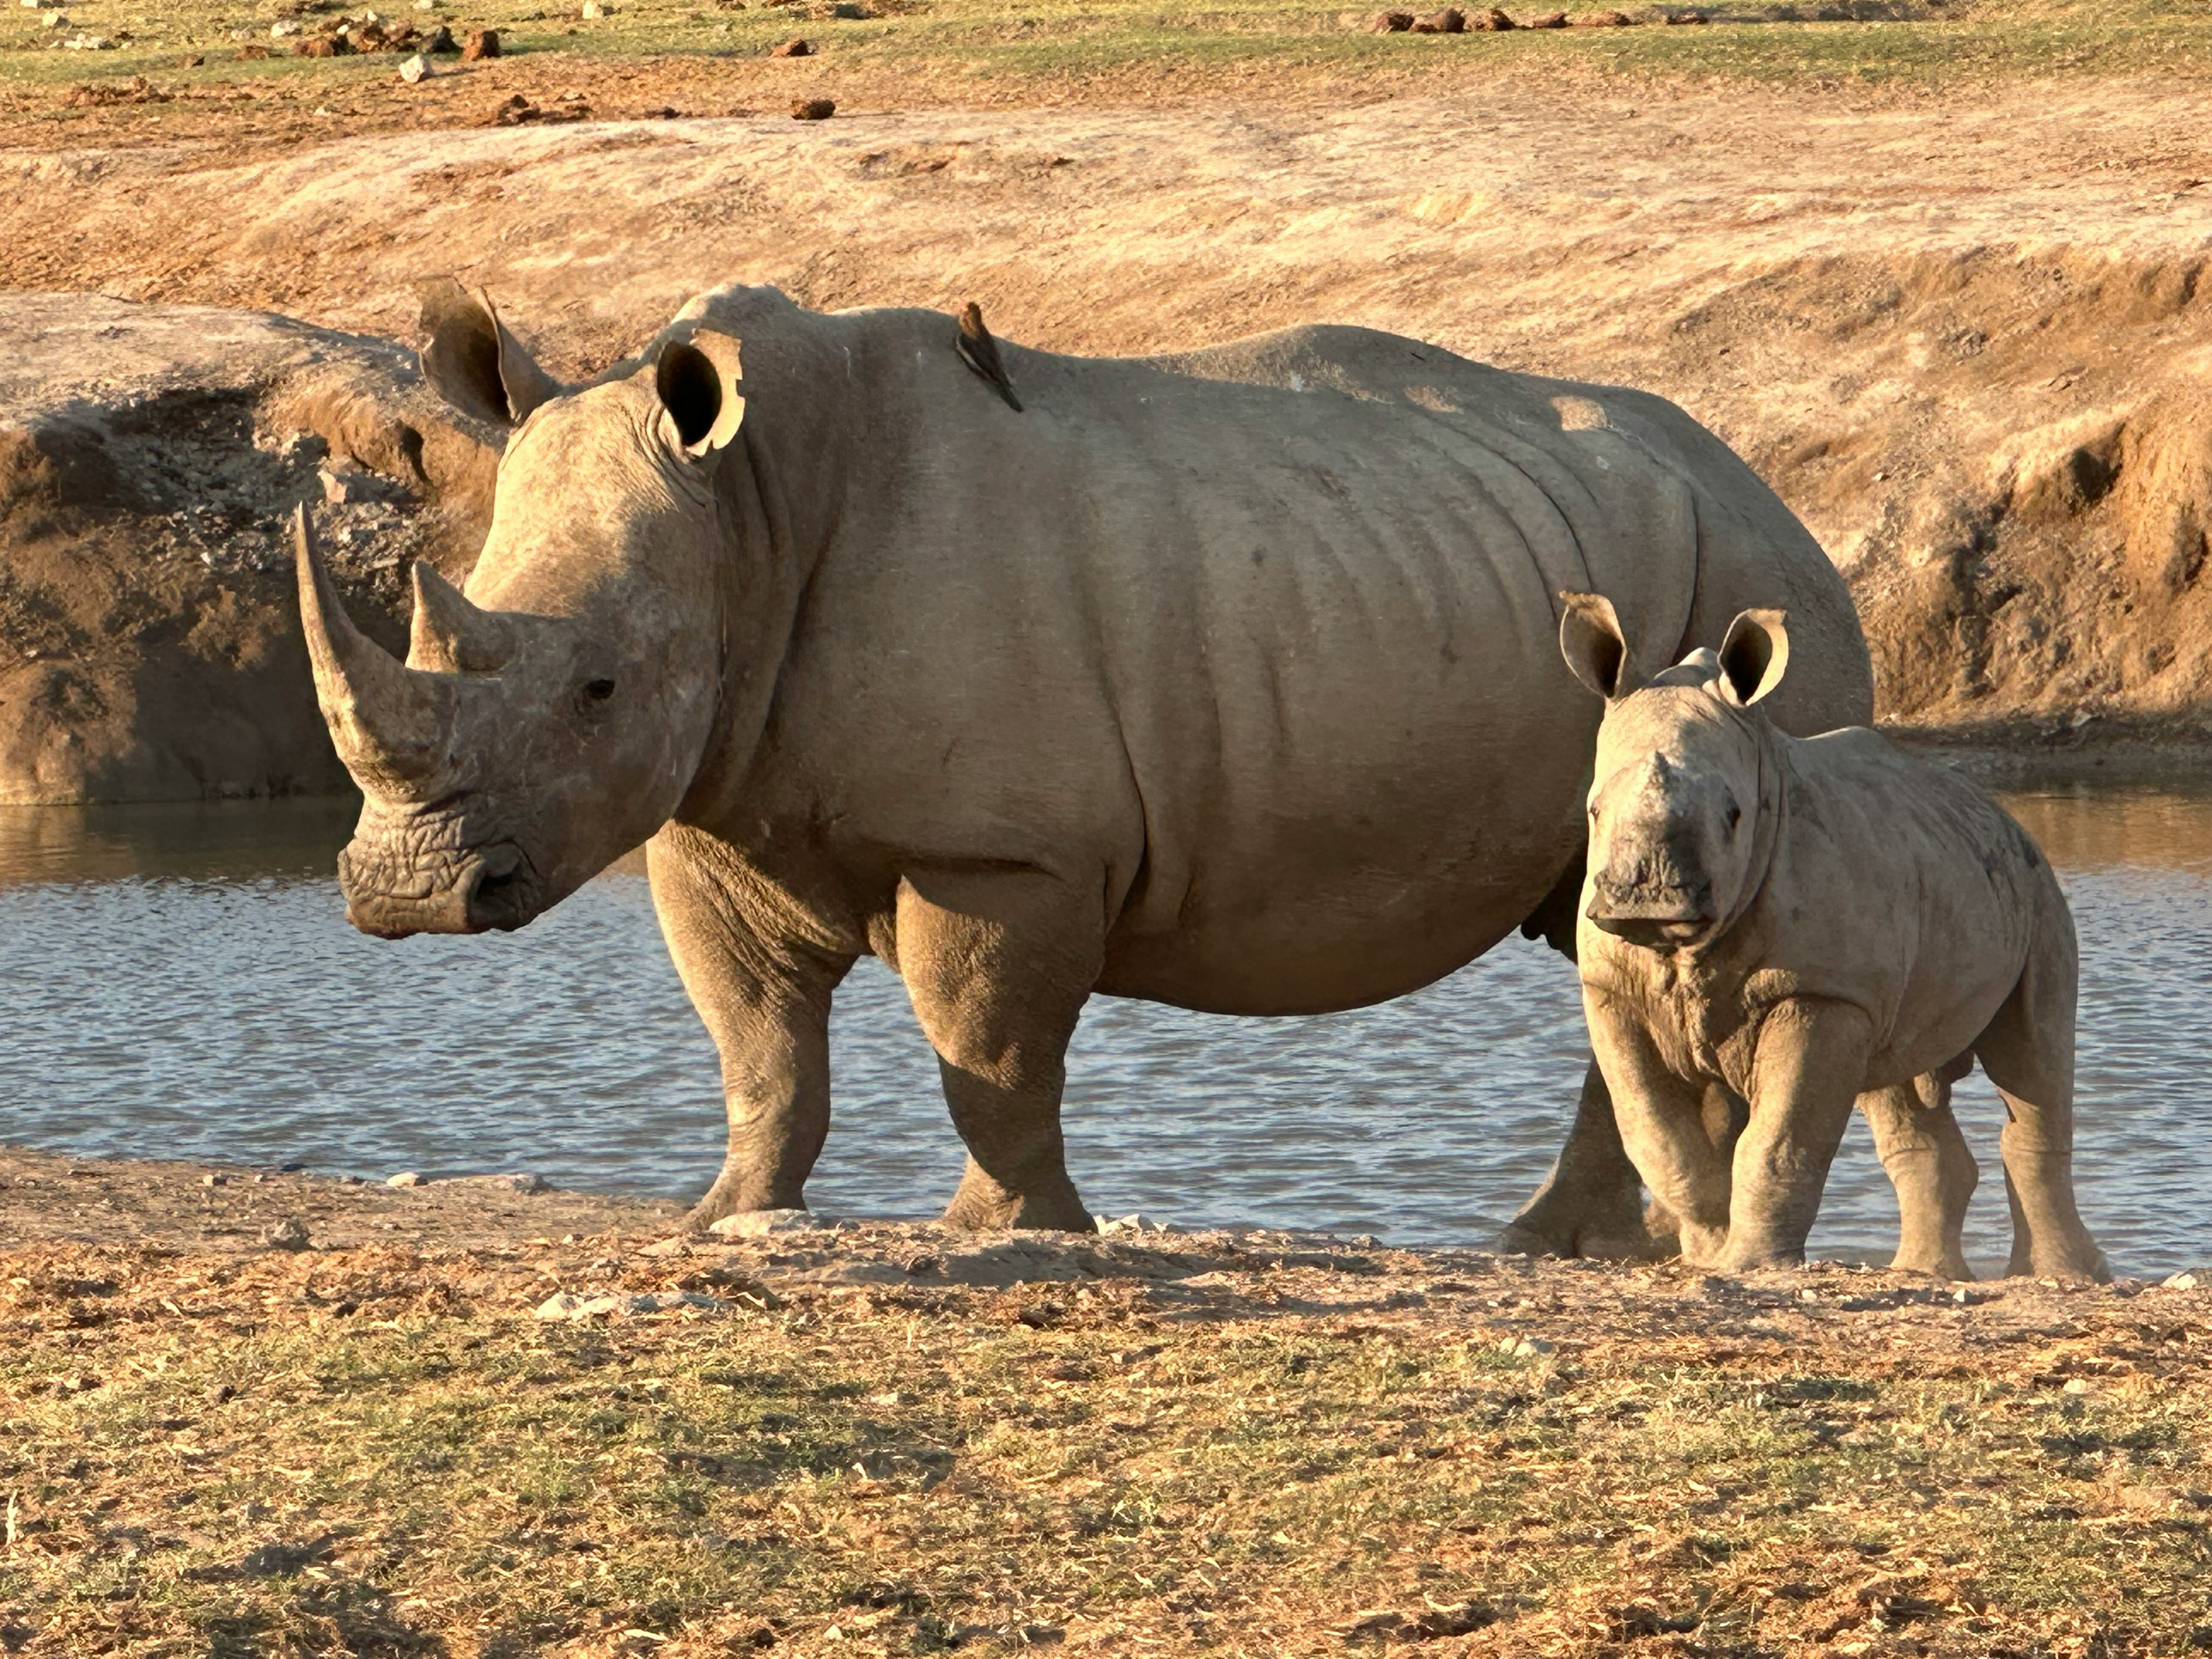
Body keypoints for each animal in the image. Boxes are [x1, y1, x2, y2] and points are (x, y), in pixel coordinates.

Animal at [295, 281, 1877, 1243]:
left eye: (598, 686)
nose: (406, 893)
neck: (748, 510)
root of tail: (1775, 489)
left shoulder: (1007, 848)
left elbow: (989, 1050)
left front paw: (998, 1236)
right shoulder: (712, 811)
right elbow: (759, 1047)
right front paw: (727, 1218)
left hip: (1746, 587)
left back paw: (1569, 1247)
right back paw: (1584, 1248)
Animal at [1559, 593, 2108, 1280]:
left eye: (1734, 815)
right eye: (1593, 810)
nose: (1650, 901)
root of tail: (1999, 810)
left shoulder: (1820, 991)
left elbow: (1780, 1139)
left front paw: (1748, 1267)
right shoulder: (1612, 989)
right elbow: (1657, 1138)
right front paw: (1708, 1254)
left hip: (2036, 891)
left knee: (2031, 1057)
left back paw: (2063, 1277)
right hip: (1936, 880)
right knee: (1897, 1082)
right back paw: (1926, 1273)